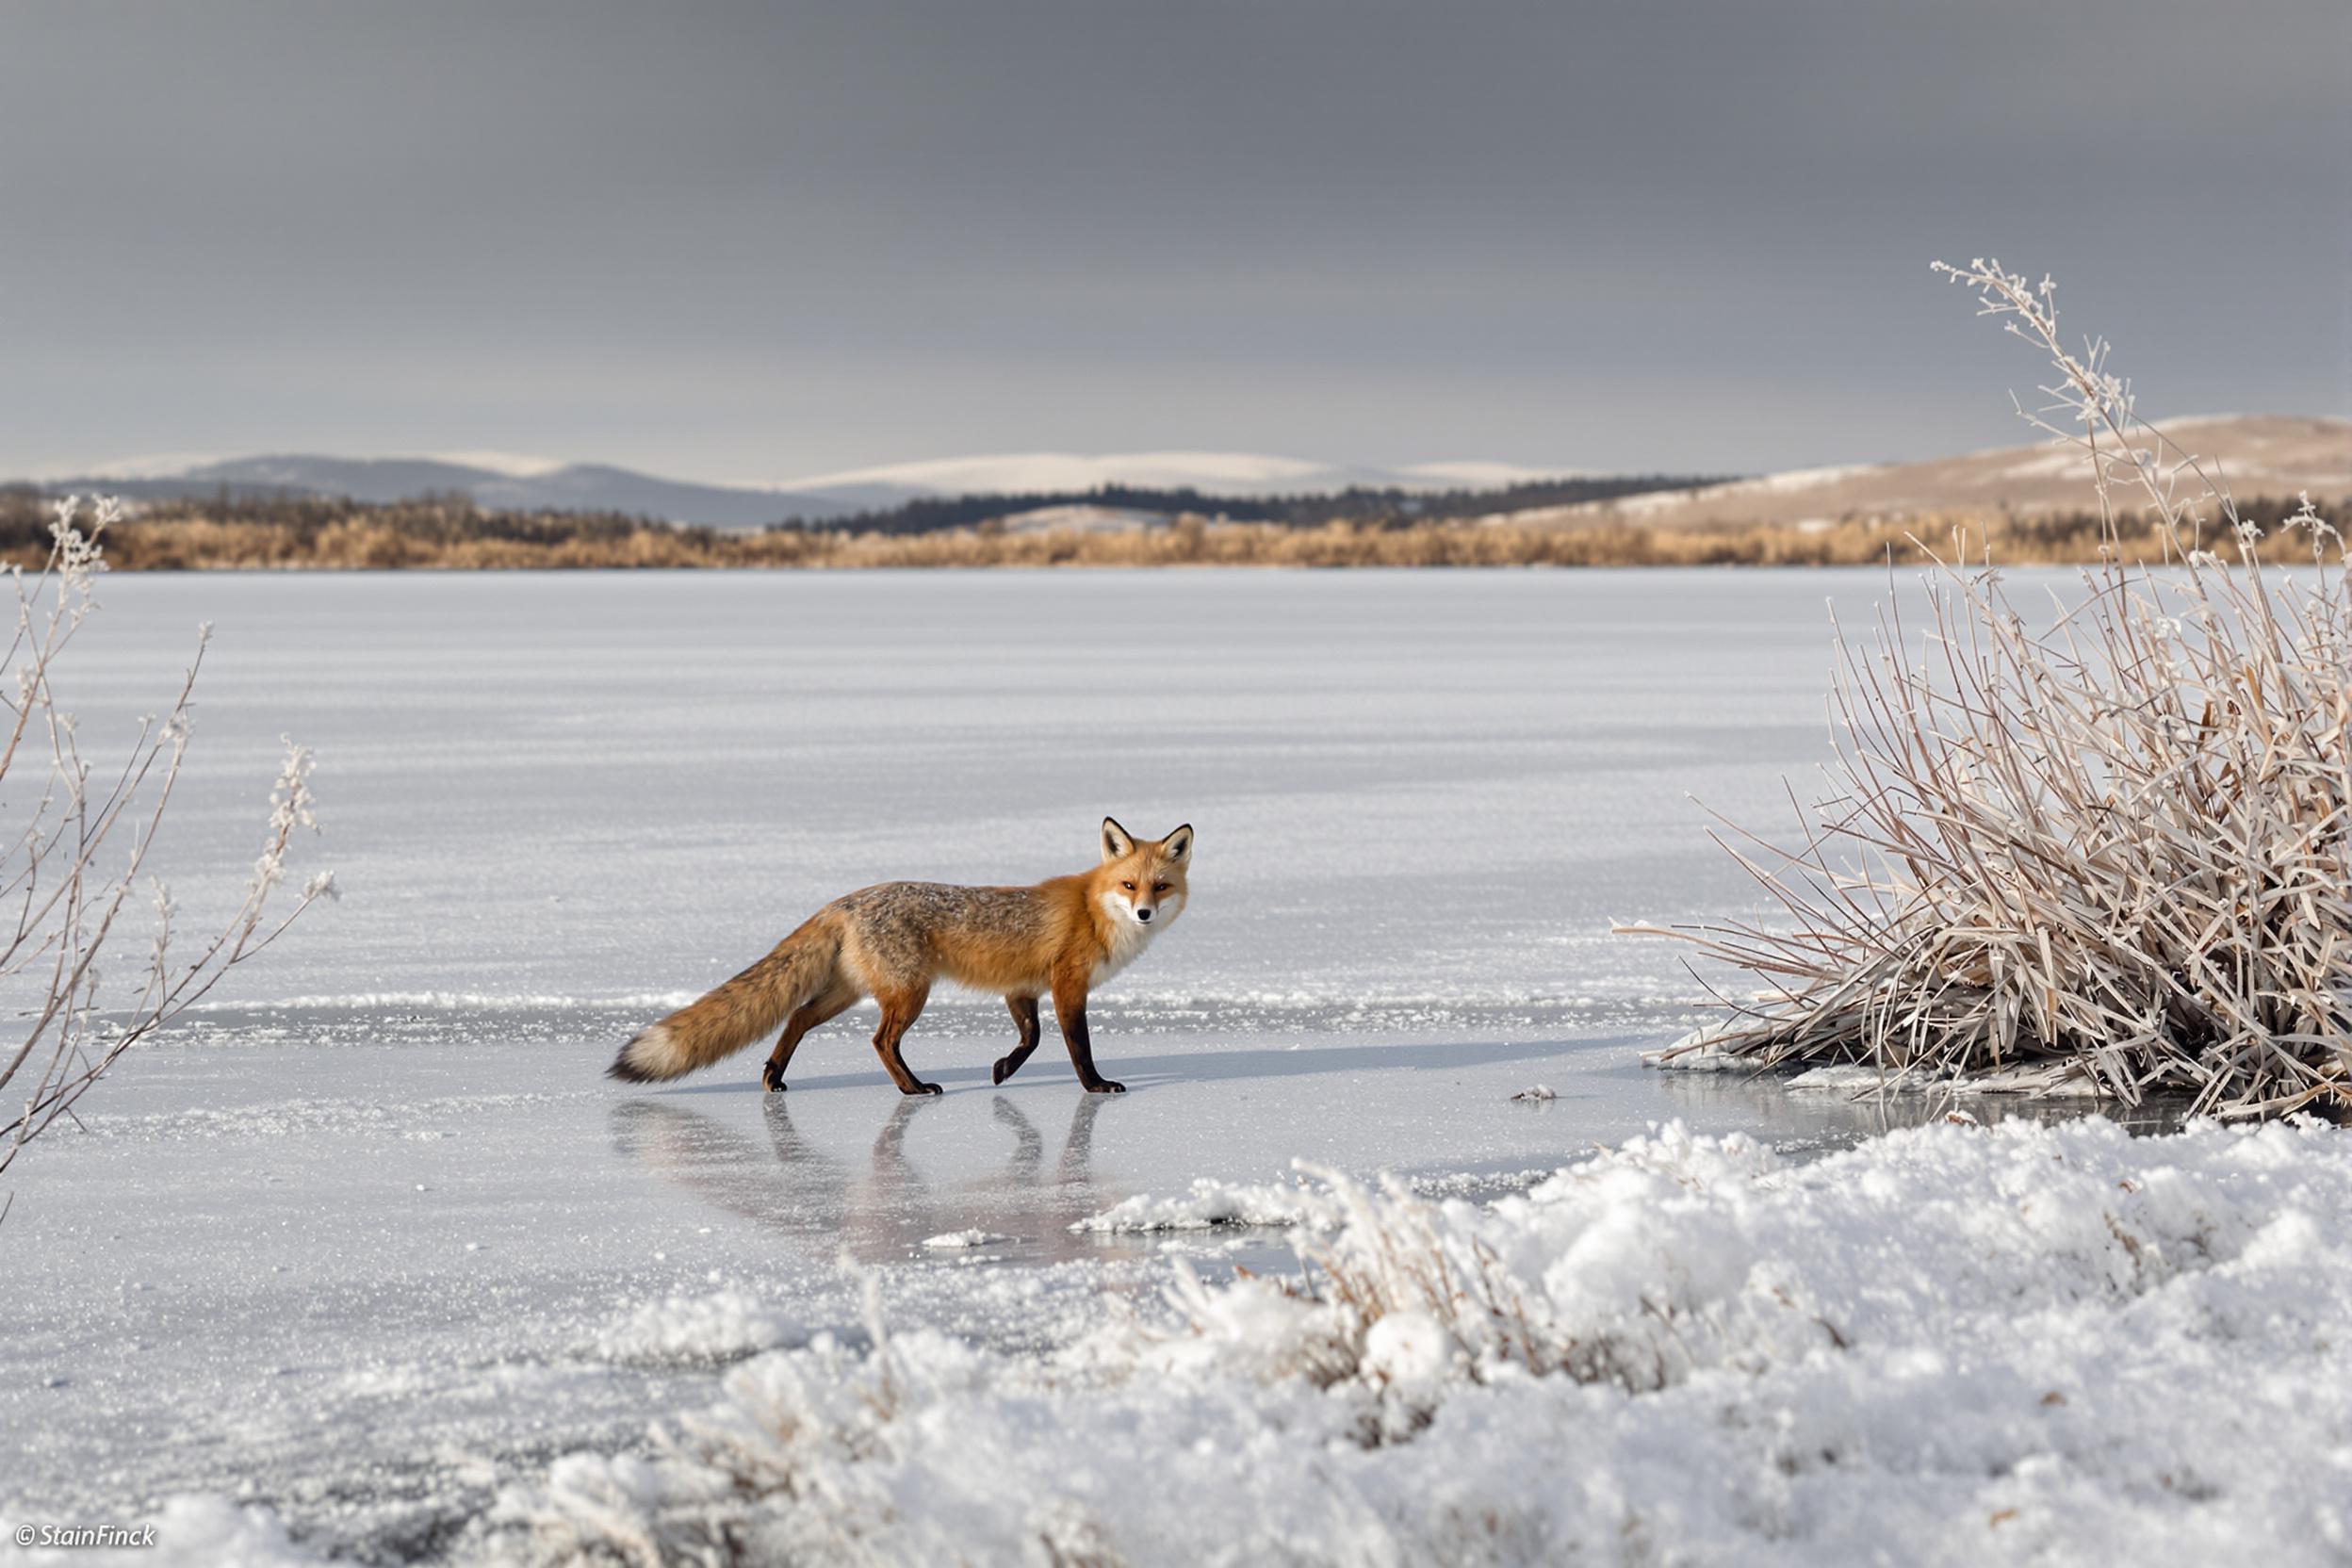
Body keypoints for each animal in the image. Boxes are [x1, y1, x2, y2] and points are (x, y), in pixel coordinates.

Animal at [606, 818, 1194, 1100]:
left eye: (1160, 886)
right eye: (1129, 885)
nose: (1144, 913)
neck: (1092, 910)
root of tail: (846, 899)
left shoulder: (1021, 987)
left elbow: (1030, 1039)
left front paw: (1002, 1070)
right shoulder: (1067, 984)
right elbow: (1076, 1047)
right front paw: (1096, 1087)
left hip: (850, 991)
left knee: (796, 1017)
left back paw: (774, 1077)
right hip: (910, 993)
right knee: (880, 1041)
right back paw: (912, 1089)